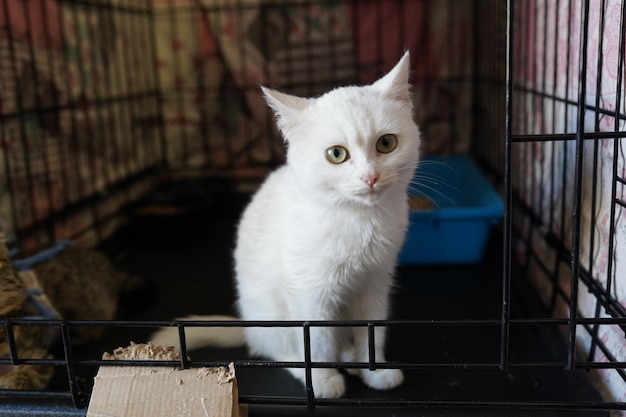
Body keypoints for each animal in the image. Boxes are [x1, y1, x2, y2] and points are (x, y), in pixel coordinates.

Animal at [152, 51, 420, 396]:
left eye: (386, 144)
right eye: (336, 154)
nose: (370, 177)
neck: (358, 218)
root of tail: (248, 327)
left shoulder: (375, 283)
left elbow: (371, 330)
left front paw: (373, 369)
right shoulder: (309, 291)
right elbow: (316, 340)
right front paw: (323, 381)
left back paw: (348, 357)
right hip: (273, 314)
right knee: (277, 351)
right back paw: (304, 367)